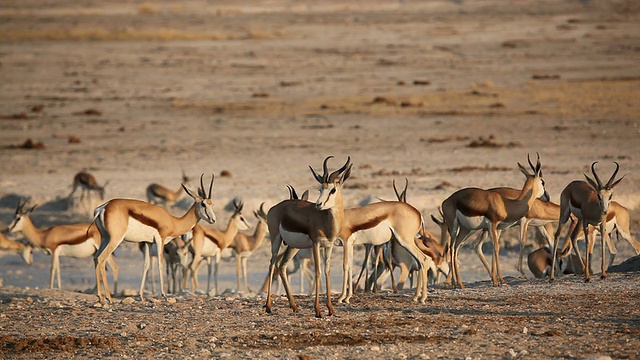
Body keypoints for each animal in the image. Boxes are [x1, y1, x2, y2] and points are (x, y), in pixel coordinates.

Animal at [93, 173, 218, 302]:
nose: (213, 220)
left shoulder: (148, 242)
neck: (173, 221)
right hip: (115, 239)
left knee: (96, 258)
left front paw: (141, 296)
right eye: (203, 204)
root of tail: (103, 207)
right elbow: (160, 264)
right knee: (102, 258)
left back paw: (100, 296)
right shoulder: (160, 240)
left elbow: (146, 265)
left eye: (211, 203)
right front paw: (165, 295)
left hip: (105, 238)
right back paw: (109, 297)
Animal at [266, 156, 356, 316]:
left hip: (293, 246)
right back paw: (269, 307)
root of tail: (275, 207)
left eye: (333, 190)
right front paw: (318, 310)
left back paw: (294, 306)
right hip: (276, 240)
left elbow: (327, 271)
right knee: (271, 265)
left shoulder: (328, 246)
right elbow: (318, 271)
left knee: (281, 266)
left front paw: (330, 309)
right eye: (320, 189)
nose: (318, 204)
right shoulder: (316, 243)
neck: (325, 220)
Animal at [442, 153, 548, 288]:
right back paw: (456, 283)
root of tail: (446, 201)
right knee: (452, 247)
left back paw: (458, 283)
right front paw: (501, 280)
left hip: (465, 229)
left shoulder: (496, 228)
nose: (547, 197)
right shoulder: (492, 224)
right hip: (454, 227)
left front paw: (495, 280)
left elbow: (493, 248)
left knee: (456, 248)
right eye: (543, 182)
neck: (507, 204)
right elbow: (496, 247)